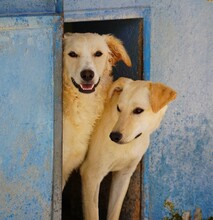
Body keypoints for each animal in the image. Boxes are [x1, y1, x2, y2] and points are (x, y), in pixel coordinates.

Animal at [80, 76, 176, 219]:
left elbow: (114, 213)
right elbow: (93, 215)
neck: (129, 145)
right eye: (119, 108)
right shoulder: (91, 174)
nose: (114, 136)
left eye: (138, 110)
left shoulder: (123, 175)